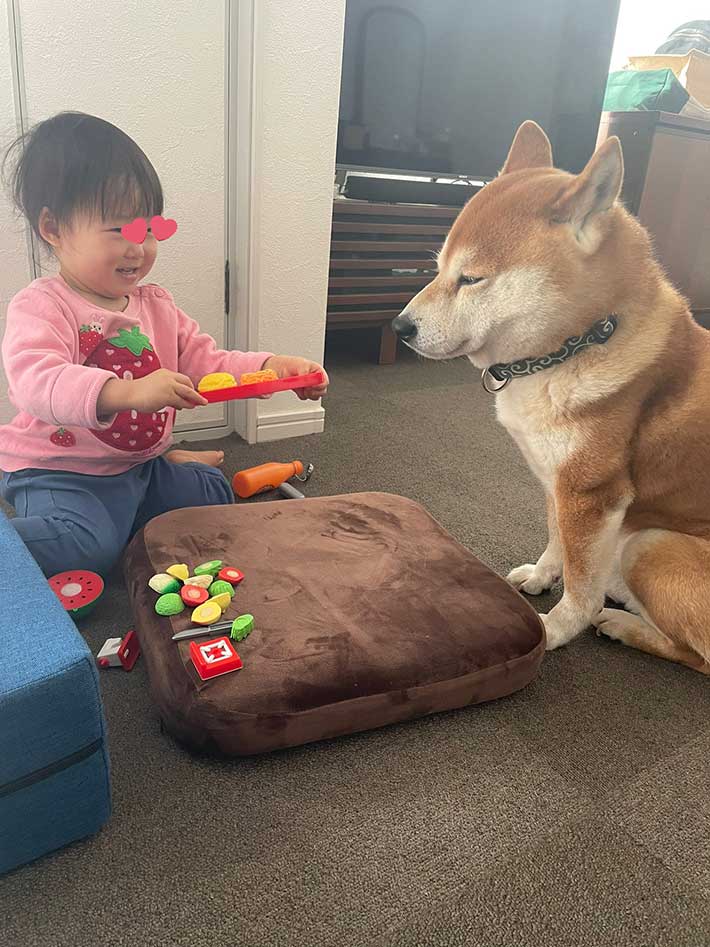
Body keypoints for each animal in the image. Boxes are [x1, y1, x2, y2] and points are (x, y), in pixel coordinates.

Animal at [392, 122, 710, 672]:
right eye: (436, 269)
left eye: (470, 278)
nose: (399, 327)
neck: (573, 346)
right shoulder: (556, 482)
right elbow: (557, 543)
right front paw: (542, 577)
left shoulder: (591, 493)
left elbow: (582, 588)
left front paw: (557, 629)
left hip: (649, 544)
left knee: (699, 656)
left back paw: (623, 624)